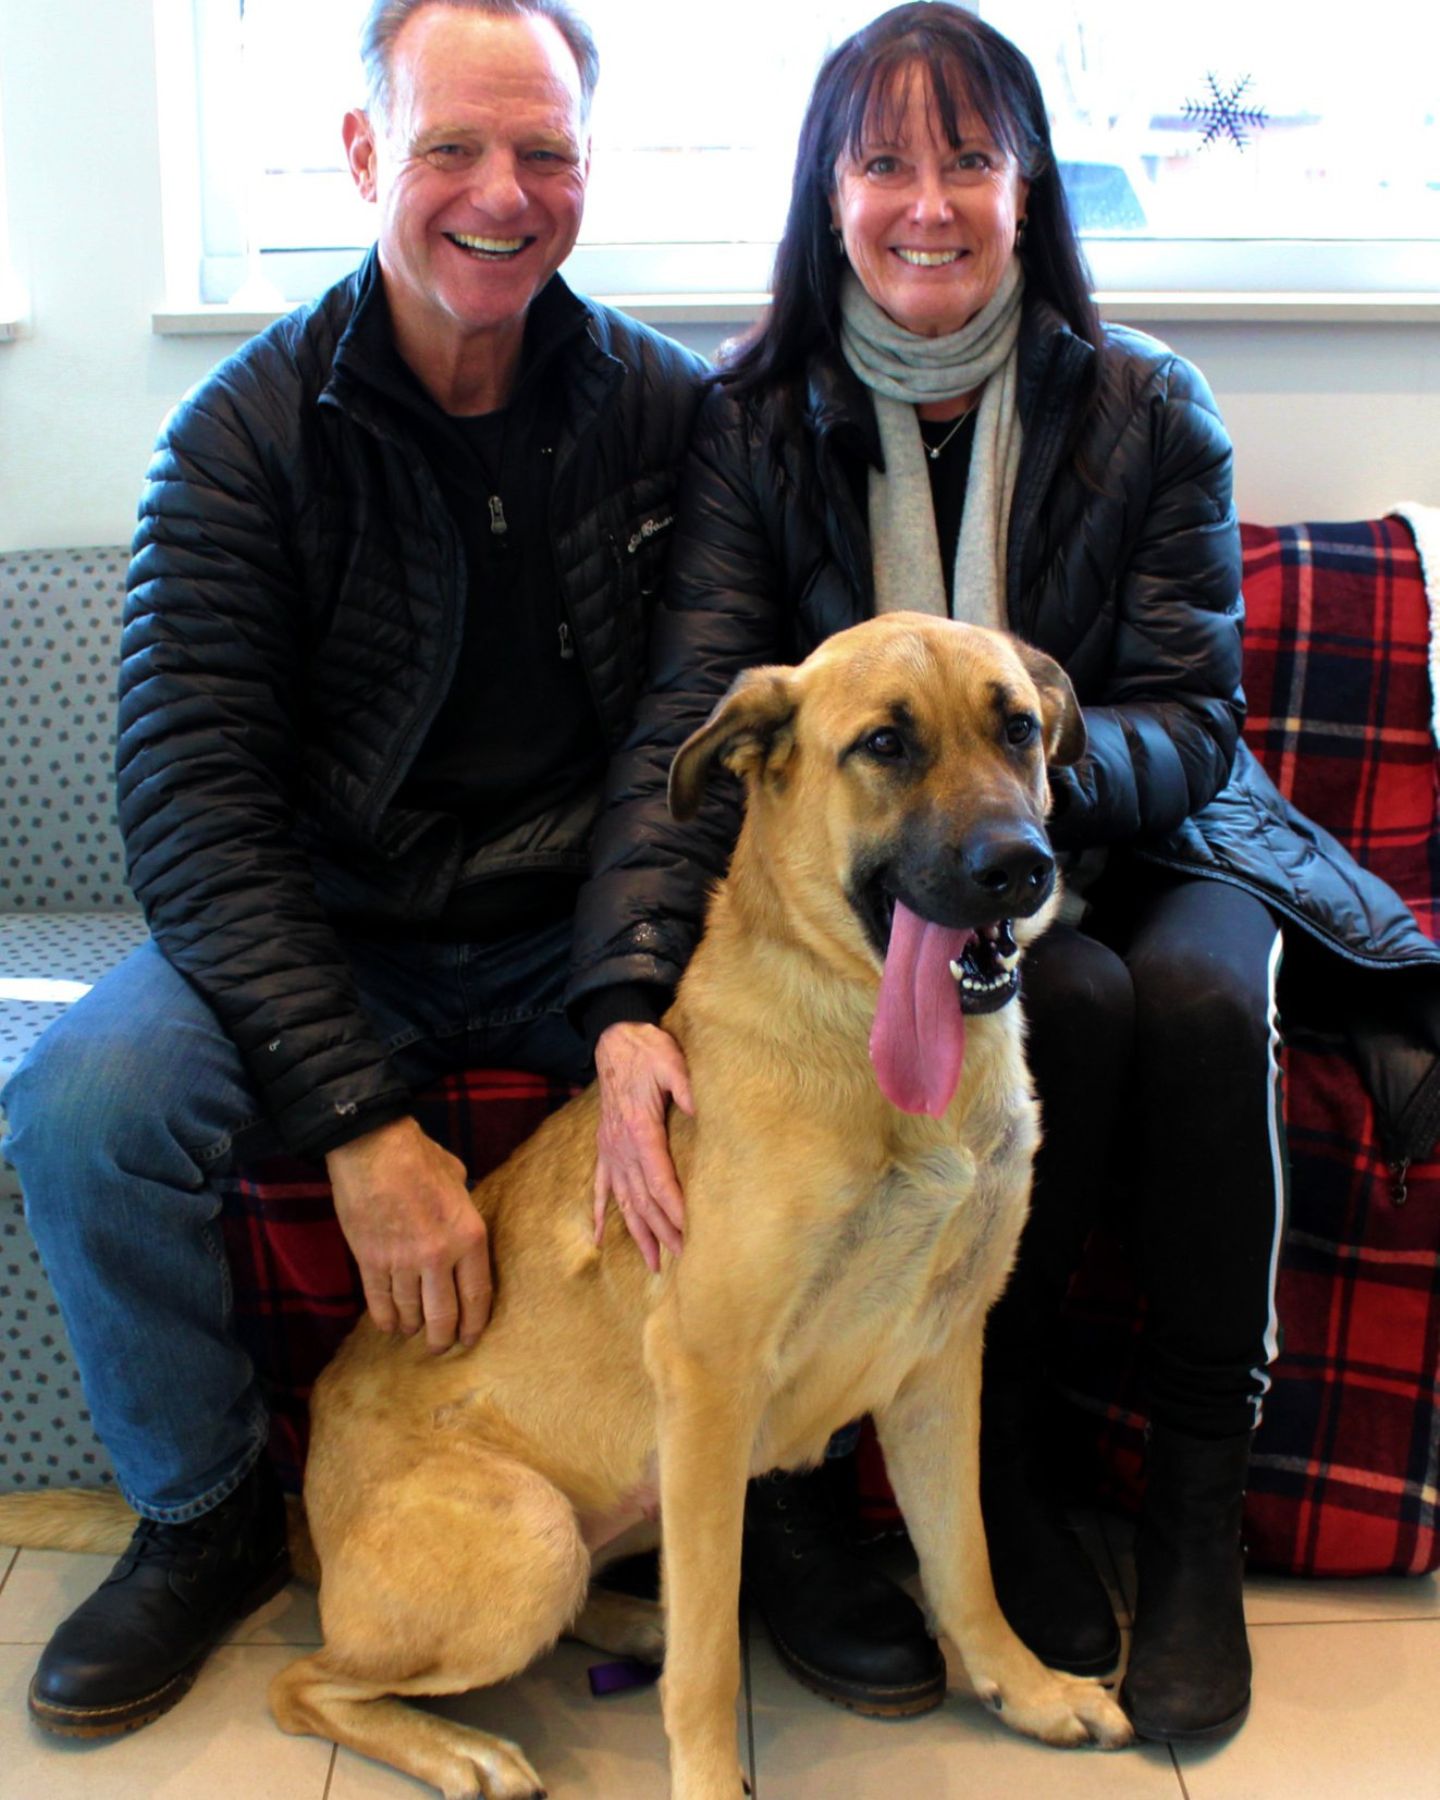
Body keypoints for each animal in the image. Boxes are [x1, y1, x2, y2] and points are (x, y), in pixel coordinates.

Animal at [0, 612, 1130, 1792]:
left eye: (1017, 729)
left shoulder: (939, 1358)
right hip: (531, 1530)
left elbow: (965, 1561)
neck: (864, 1040)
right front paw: (708, 1776)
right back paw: (468, 1749)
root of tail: (309, 1512)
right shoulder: (710, 1378)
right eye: (884, 746)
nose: (1022, 869)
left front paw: (1025, 1687)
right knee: (307, 1682)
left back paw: (632, 1617)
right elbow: (711, 1665)